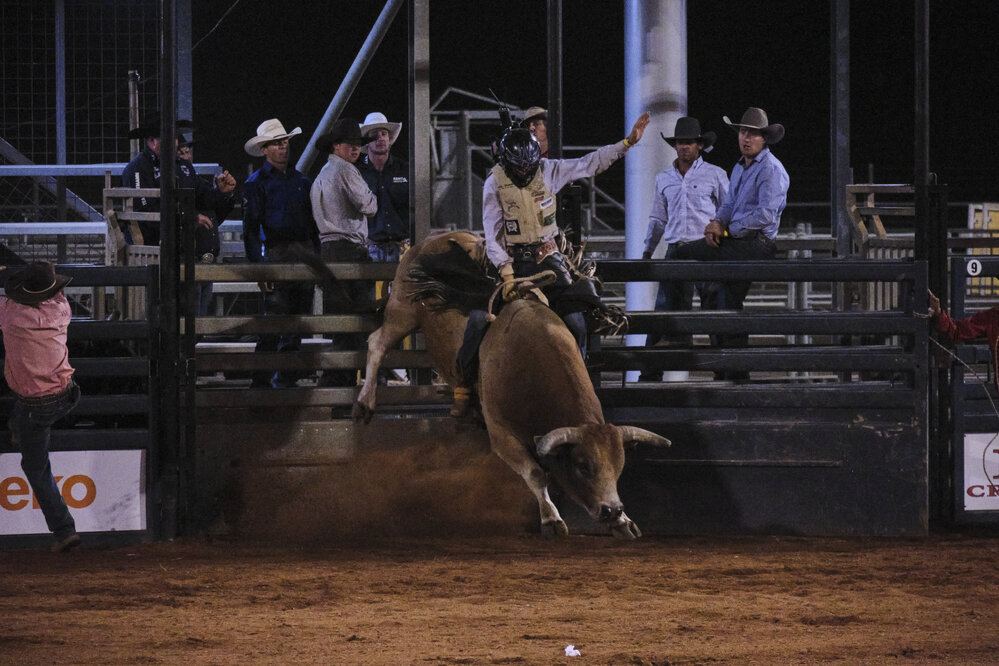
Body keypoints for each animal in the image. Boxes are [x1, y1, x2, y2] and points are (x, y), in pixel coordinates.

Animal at [325, 231, 671, 538]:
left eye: (619, 464)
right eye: (582, 465)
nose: (611, 509)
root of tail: (433, 239)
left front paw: (625, 522)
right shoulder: (502, 435)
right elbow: (535, 472)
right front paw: (552, 520)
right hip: (403, 308)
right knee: (377, 342)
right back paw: (365, 403)